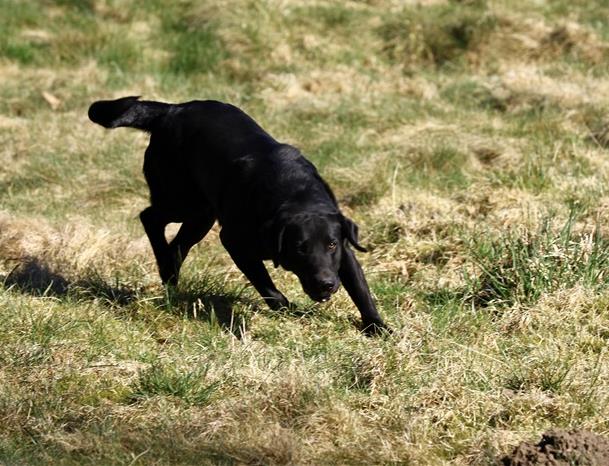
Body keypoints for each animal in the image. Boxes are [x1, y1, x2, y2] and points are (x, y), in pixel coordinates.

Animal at [88, 96, 389, 335]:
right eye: (300, 248)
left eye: (331, 245)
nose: (325, 283)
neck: (295, 194)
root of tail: (171, 110)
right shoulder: (234, 242)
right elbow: (267, 286)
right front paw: (289, 310)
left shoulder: (344, 248)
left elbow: (360, 288)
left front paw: (377, 326)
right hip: (181, 199)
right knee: (149, 217)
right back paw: (163, 263)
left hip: (201, 215)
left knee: (176, 245)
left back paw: (171, 279)